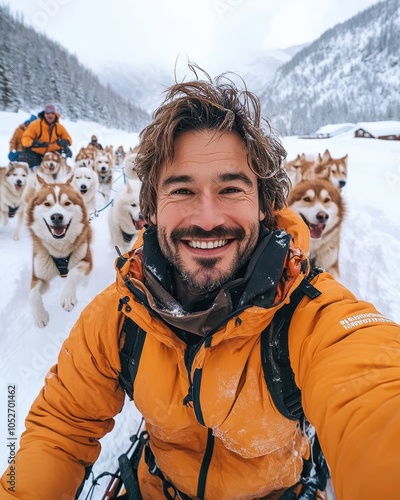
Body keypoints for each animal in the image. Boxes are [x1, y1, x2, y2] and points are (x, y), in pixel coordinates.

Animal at [25, 176, 93, 328]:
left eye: (67, 203)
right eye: (47, 204)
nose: (56, 217)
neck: (59, 250)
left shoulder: (86, 260)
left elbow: (73, 272)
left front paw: (67, 296)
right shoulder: (39, 276)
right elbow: (32, 295)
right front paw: (40, 316)